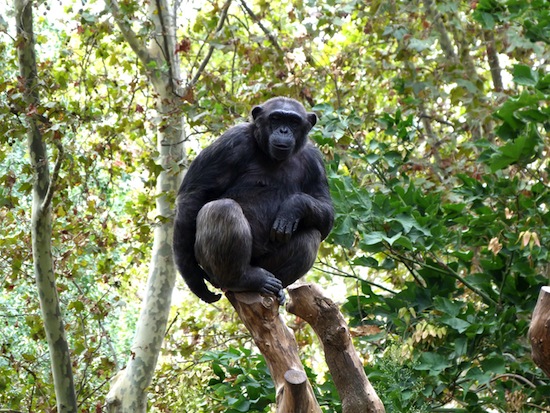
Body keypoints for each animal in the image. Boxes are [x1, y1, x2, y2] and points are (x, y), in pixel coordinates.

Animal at [175, 96, 334, 302]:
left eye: (293, 121)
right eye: (276, 118)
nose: (284, 130)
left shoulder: (315, 161)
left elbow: (326, 213)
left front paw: (293, 207)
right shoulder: (231, 142)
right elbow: (194, 196)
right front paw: (195, 281)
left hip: (266, 264)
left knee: (311, 234)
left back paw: (275, 288)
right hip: (214, 272)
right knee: (222, 209)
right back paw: (242, 279)